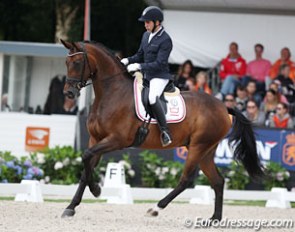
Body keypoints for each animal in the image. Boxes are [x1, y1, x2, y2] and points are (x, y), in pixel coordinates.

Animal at [59, 40, 264, 219]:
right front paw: (71, 207)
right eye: (66, 62)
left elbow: (86, 156)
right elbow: (85, 168)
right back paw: (215, 218)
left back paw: (156, 208)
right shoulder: (96, 139)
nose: (68, 93)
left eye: (77, 62)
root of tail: (223, 107)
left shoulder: (116, 140)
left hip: (199, 146)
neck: (111, 93)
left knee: (186, 179)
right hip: (206, 149)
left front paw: (96, 190)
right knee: (218, 181)